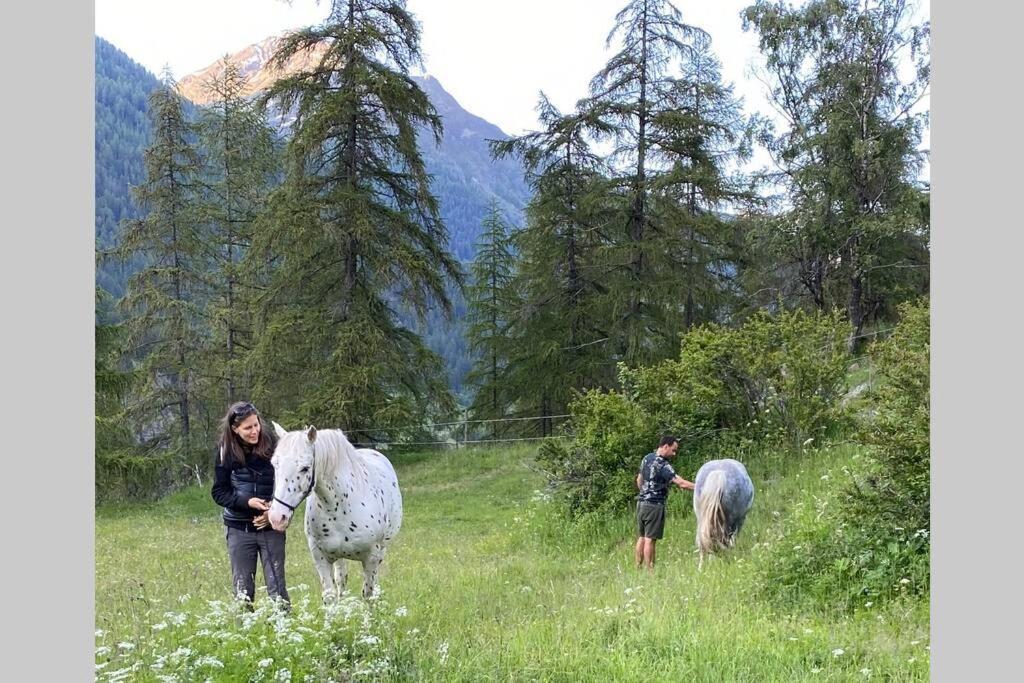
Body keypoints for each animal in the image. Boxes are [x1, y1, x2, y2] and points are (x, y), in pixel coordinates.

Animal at [268, 423, 403, 602]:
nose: (277, 518)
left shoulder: (371, 558)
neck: (338, 506)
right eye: (274, 464)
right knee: (341, 579)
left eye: (305, 468)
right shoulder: (321, 558)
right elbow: (330, 595)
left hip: (382, 549)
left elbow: (367, 594)